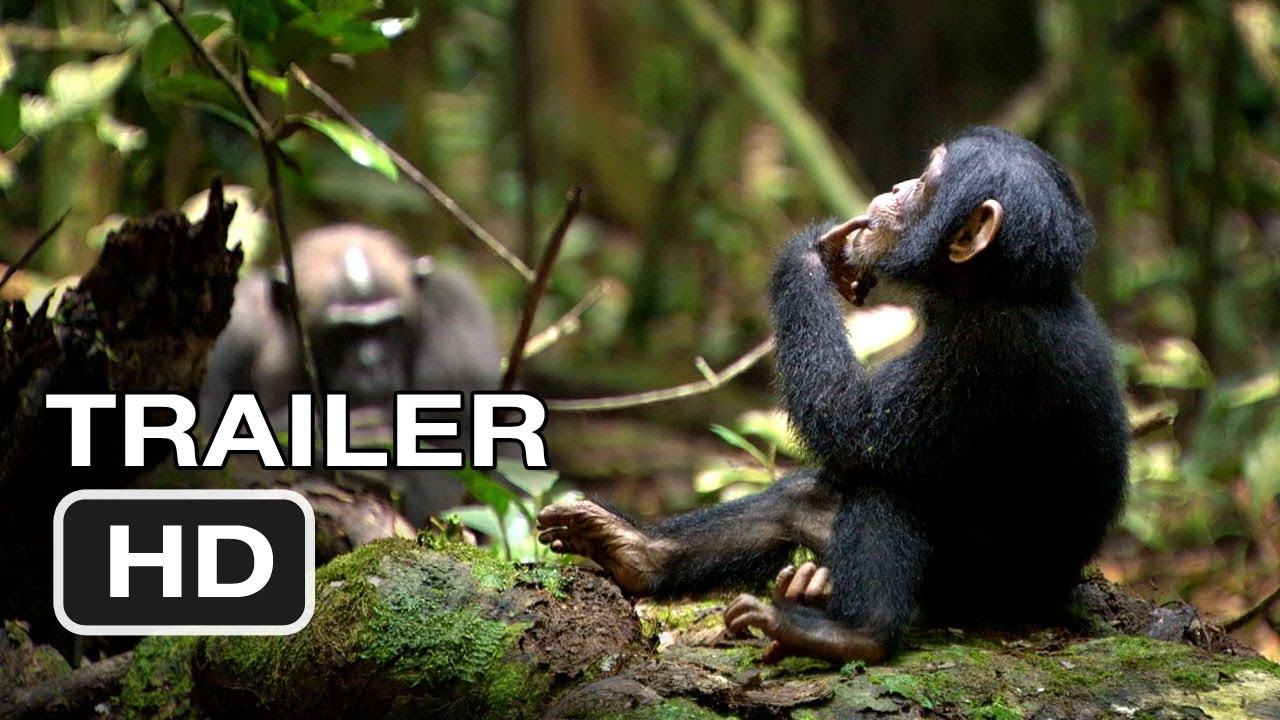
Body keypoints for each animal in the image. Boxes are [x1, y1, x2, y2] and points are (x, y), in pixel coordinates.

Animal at [537, 127, 1129, 664]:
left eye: (926, 184)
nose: (897, 186)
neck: (998, 286)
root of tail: (1052, 599)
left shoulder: (981, 348)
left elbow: (851, 422)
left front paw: (813, 252)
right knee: (803, 499)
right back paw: (634, 550)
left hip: (979, 585)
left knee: (883, 482)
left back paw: (850, 634)